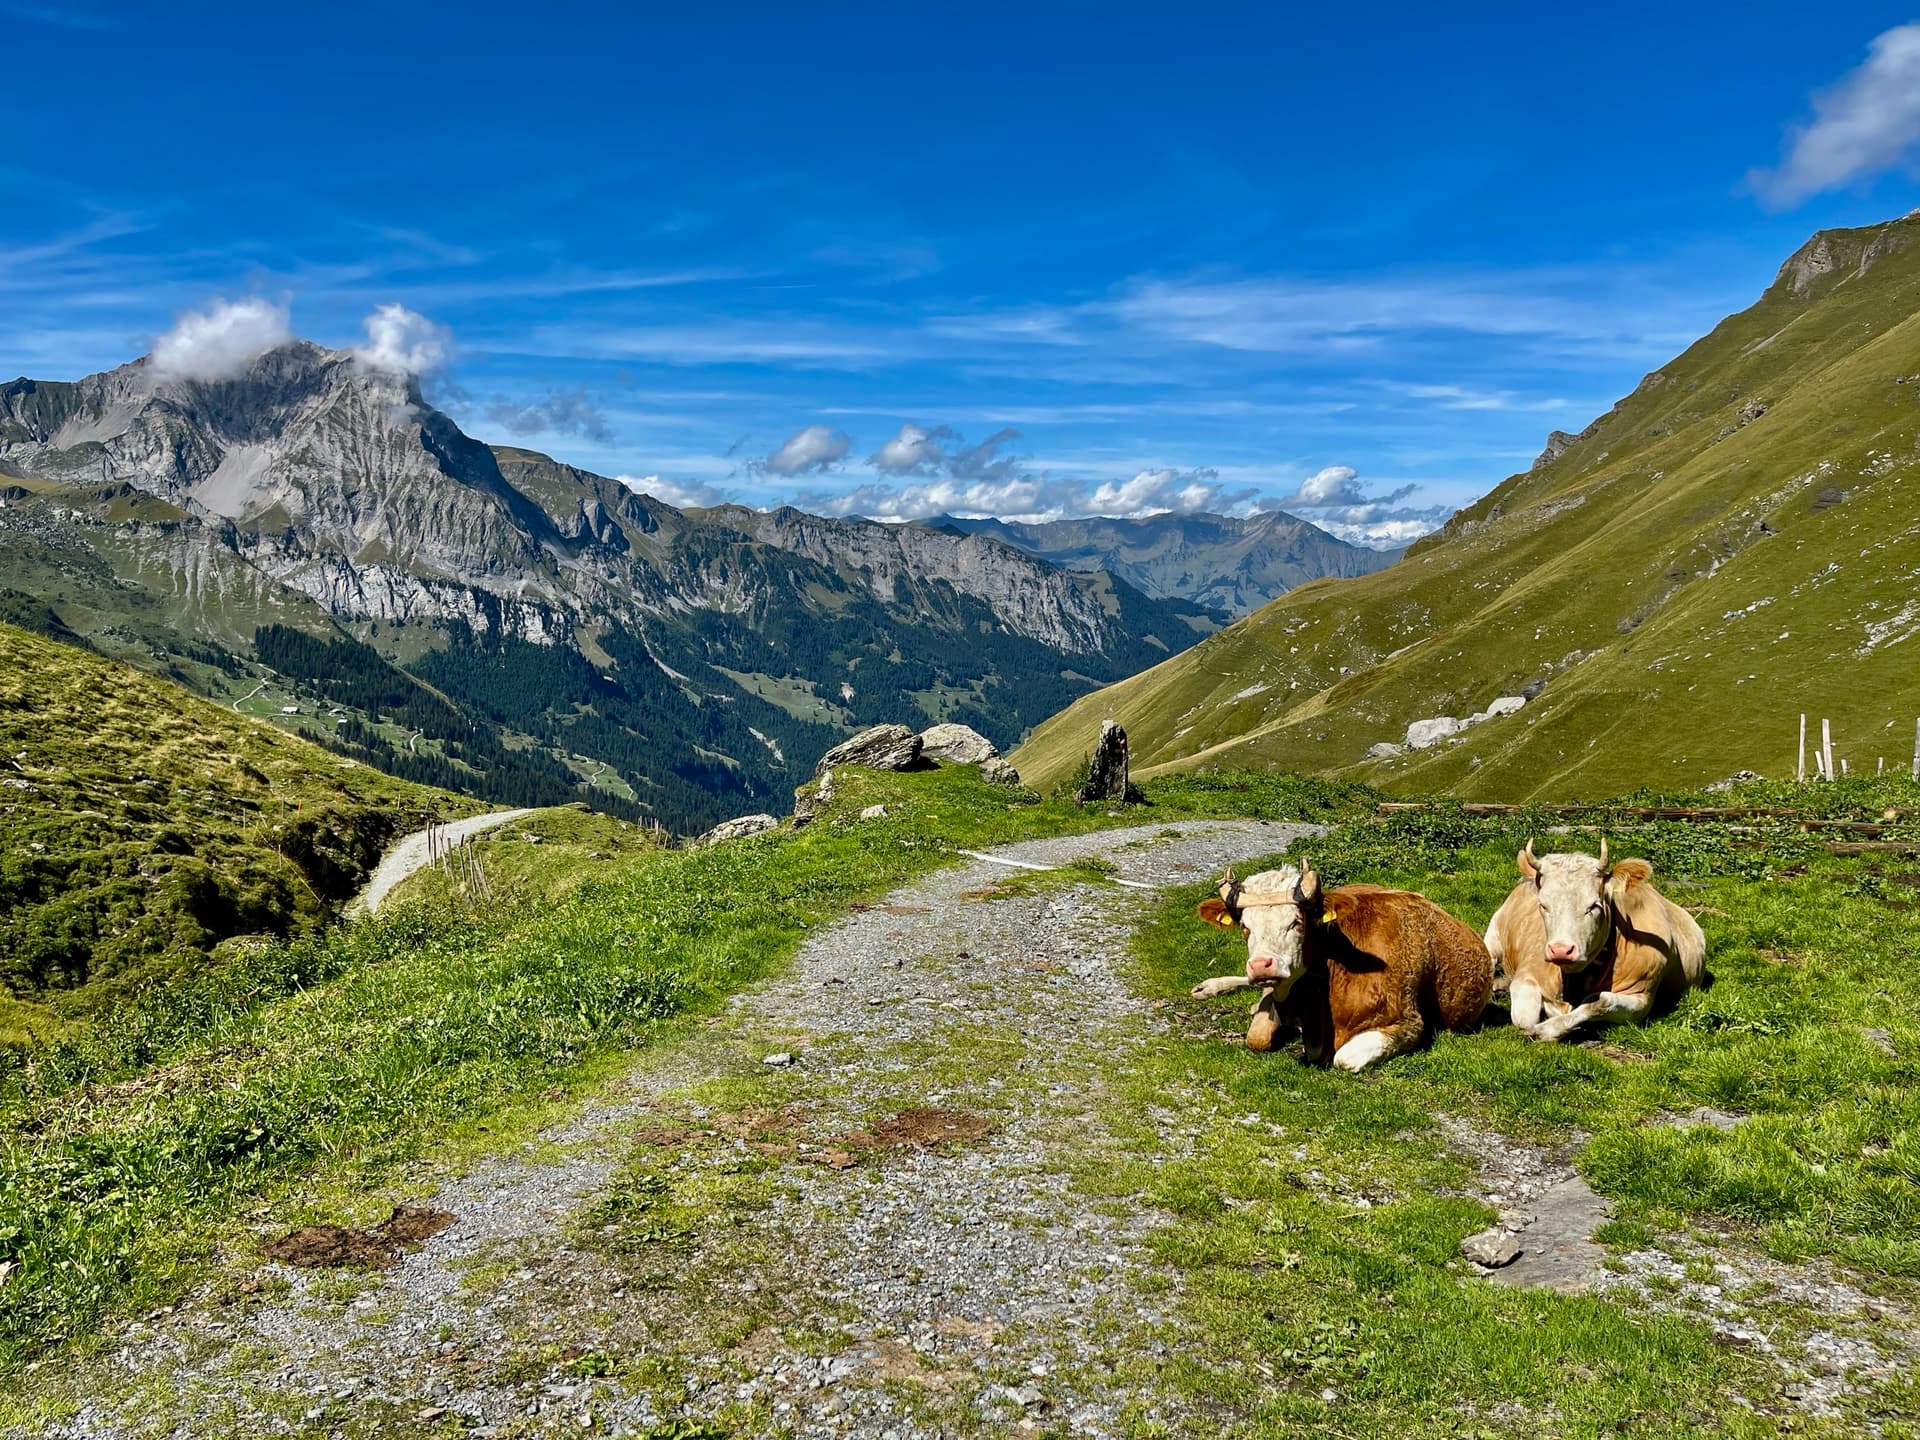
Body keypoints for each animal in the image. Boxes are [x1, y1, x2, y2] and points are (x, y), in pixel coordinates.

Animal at [1189, 862, 1493, 1071]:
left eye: (1296, 922)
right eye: (1244, 925)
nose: (1262, 965)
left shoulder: (1409, 1023)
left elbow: (1344, 1058)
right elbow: (1257, 1037)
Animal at [1484, 838, 1708, 1043]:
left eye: (1594, 906)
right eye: (1543, 904)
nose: (1561, 950)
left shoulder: (1642, 997)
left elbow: (1601, 1001)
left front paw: (1549, 1029)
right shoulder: (1528, 974)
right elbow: (1525, 1018)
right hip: (1493, 935)